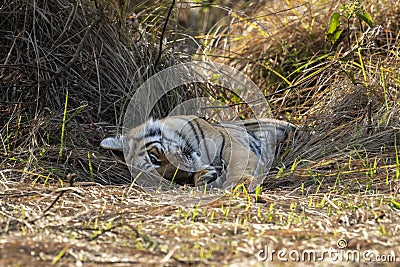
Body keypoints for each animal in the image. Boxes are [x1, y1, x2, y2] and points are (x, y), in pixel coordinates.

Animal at [101, 116, 296, 189]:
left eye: (154, 158)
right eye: (168, 179)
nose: (184, 173)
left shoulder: (230, 145)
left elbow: (238, 165)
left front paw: (238, 183)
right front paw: (204, 176)